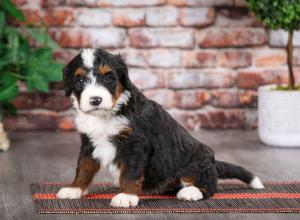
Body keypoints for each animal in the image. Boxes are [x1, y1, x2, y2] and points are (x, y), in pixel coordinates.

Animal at [55, 48, 262, 208]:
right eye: (80, 80)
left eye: (108, 78)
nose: (95, 100)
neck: (108, 114)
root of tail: (213, 161)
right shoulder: (89, 142)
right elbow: (83, 167)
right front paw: (74, 189)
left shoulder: (136, 144)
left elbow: (130, 173)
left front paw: (127, 196)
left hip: (196, 163)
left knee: (209, 186)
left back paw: (191, 192)